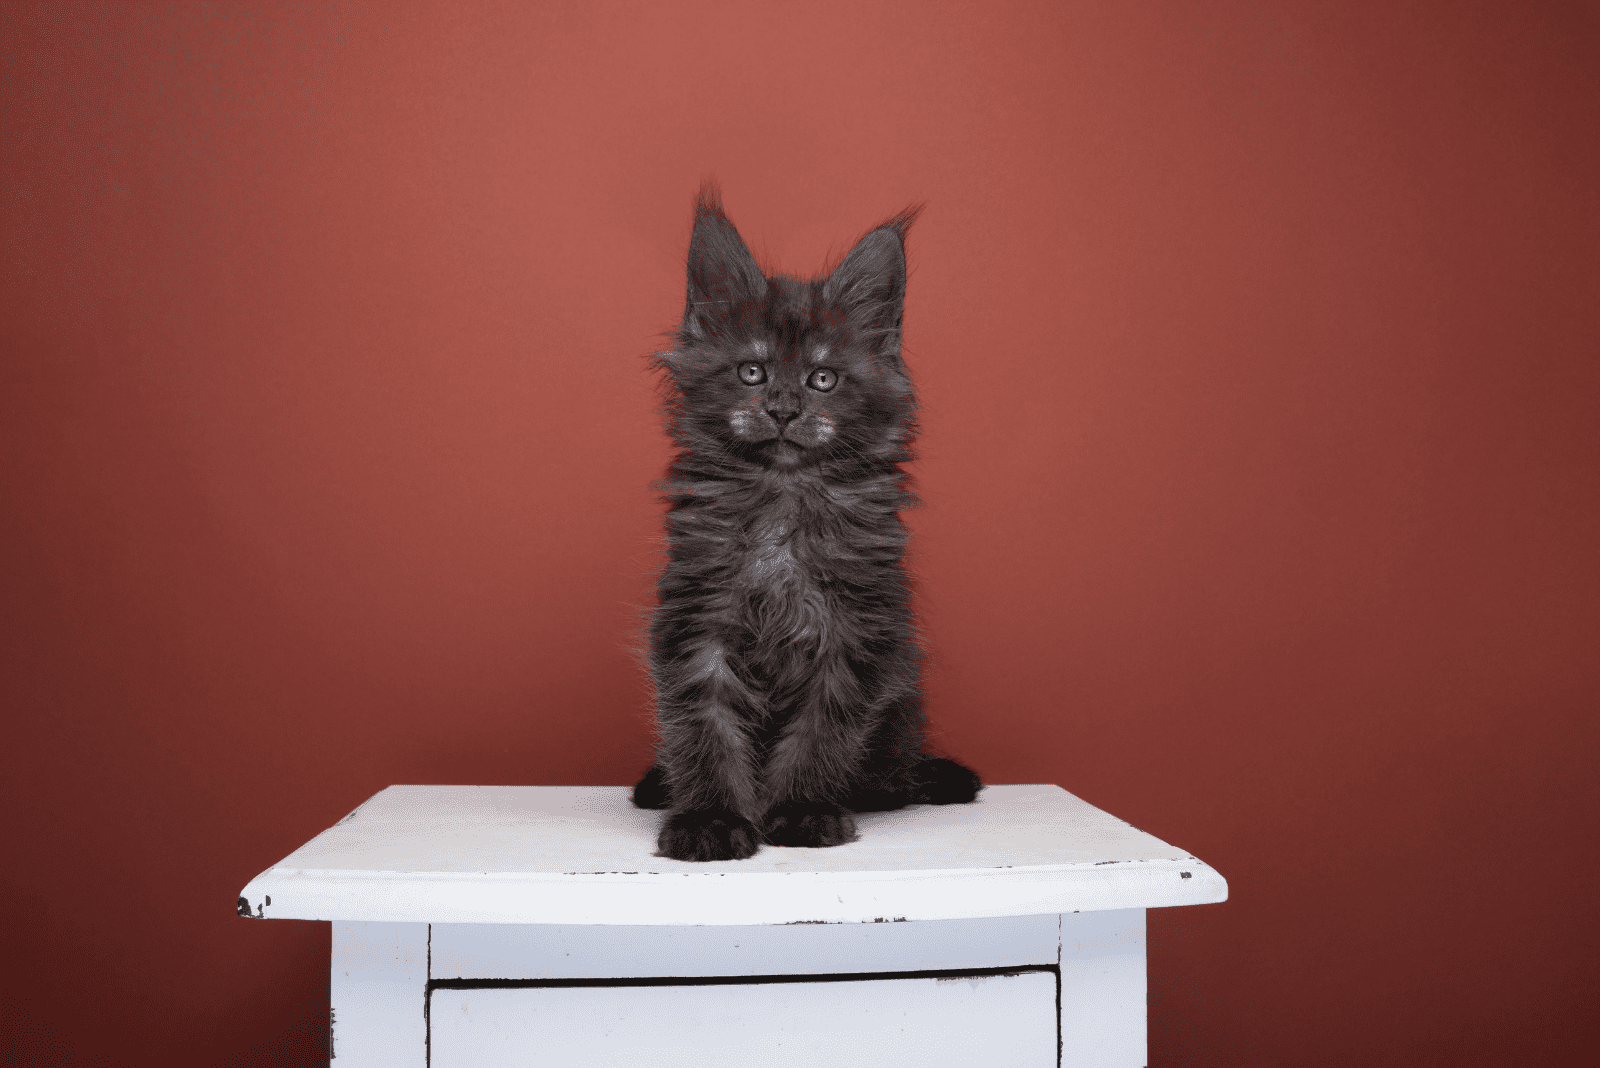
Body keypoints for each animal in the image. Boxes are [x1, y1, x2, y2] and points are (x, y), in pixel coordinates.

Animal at [630, 187, 979, 863]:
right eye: (752, 372)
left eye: (823, 378)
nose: (785, 410)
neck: (783, 501)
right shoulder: (699, 626)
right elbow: (704, 732)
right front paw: (709, 820)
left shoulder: (852, 633)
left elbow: (821, 734)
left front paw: (801, 811)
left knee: (893, 776)